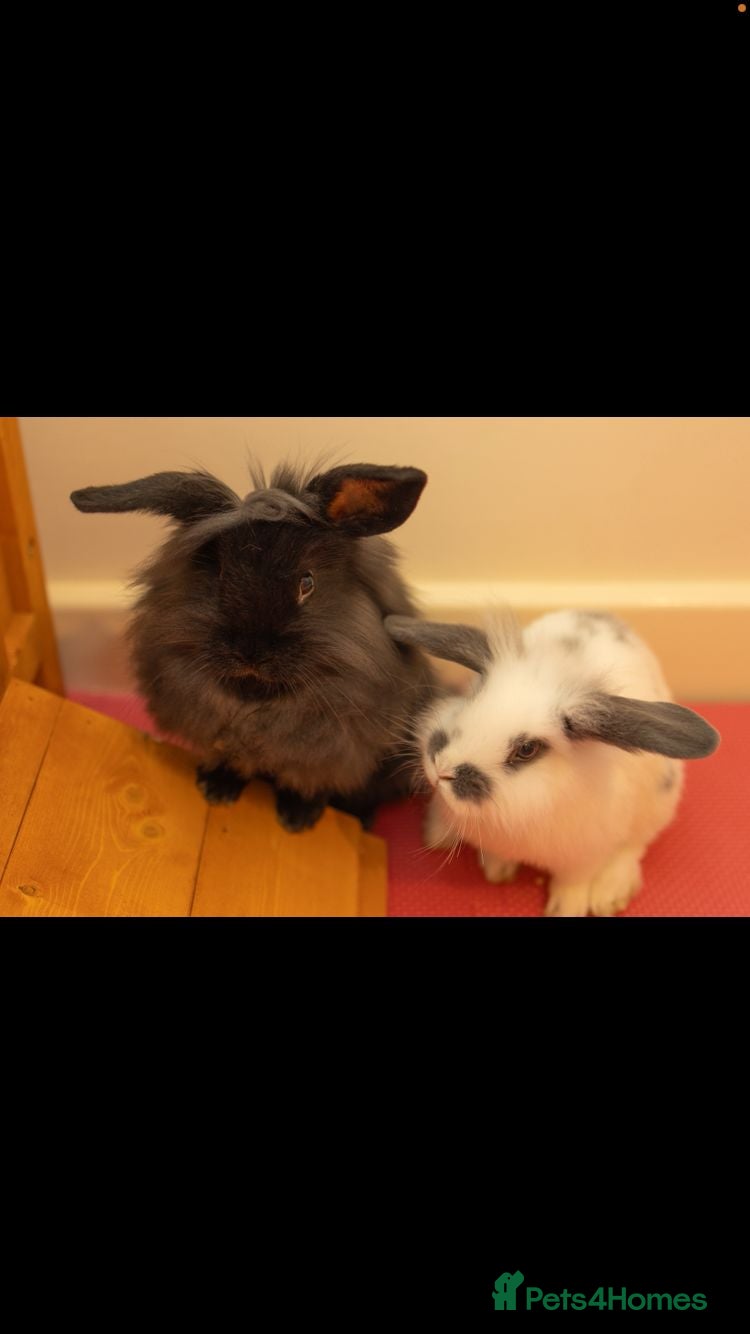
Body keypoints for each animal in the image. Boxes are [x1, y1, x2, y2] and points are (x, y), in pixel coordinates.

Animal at [71, 460, 438, 832]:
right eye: (219, 573)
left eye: (307, 582)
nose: (251, 653)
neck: (255, 704)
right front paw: (215, 790)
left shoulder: (335, 754)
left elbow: (311, 783)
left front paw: (297, 820)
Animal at [385, 608, 721, 916]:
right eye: (474, 694)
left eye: (527, 749)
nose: (441, 769)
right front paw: (497, 870)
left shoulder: (585, 855)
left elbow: (574, 883)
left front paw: (565, 909)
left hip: (657, 803)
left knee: (633, 846)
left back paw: (609, 895)